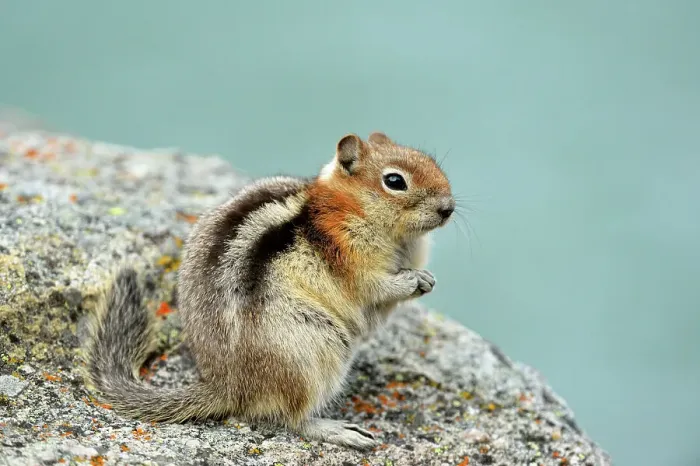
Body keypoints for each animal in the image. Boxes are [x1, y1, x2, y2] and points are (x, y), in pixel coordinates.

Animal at [87, 131, 455, 450]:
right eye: (395, 181)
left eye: (430, 162)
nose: (448, 208)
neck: (349, 207)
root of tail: (227, 386)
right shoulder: (350, 257)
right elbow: (374, 287)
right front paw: (412, 281)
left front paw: (427, 279)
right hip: (313, 344)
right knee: (292, 417)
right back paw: (339, 430)